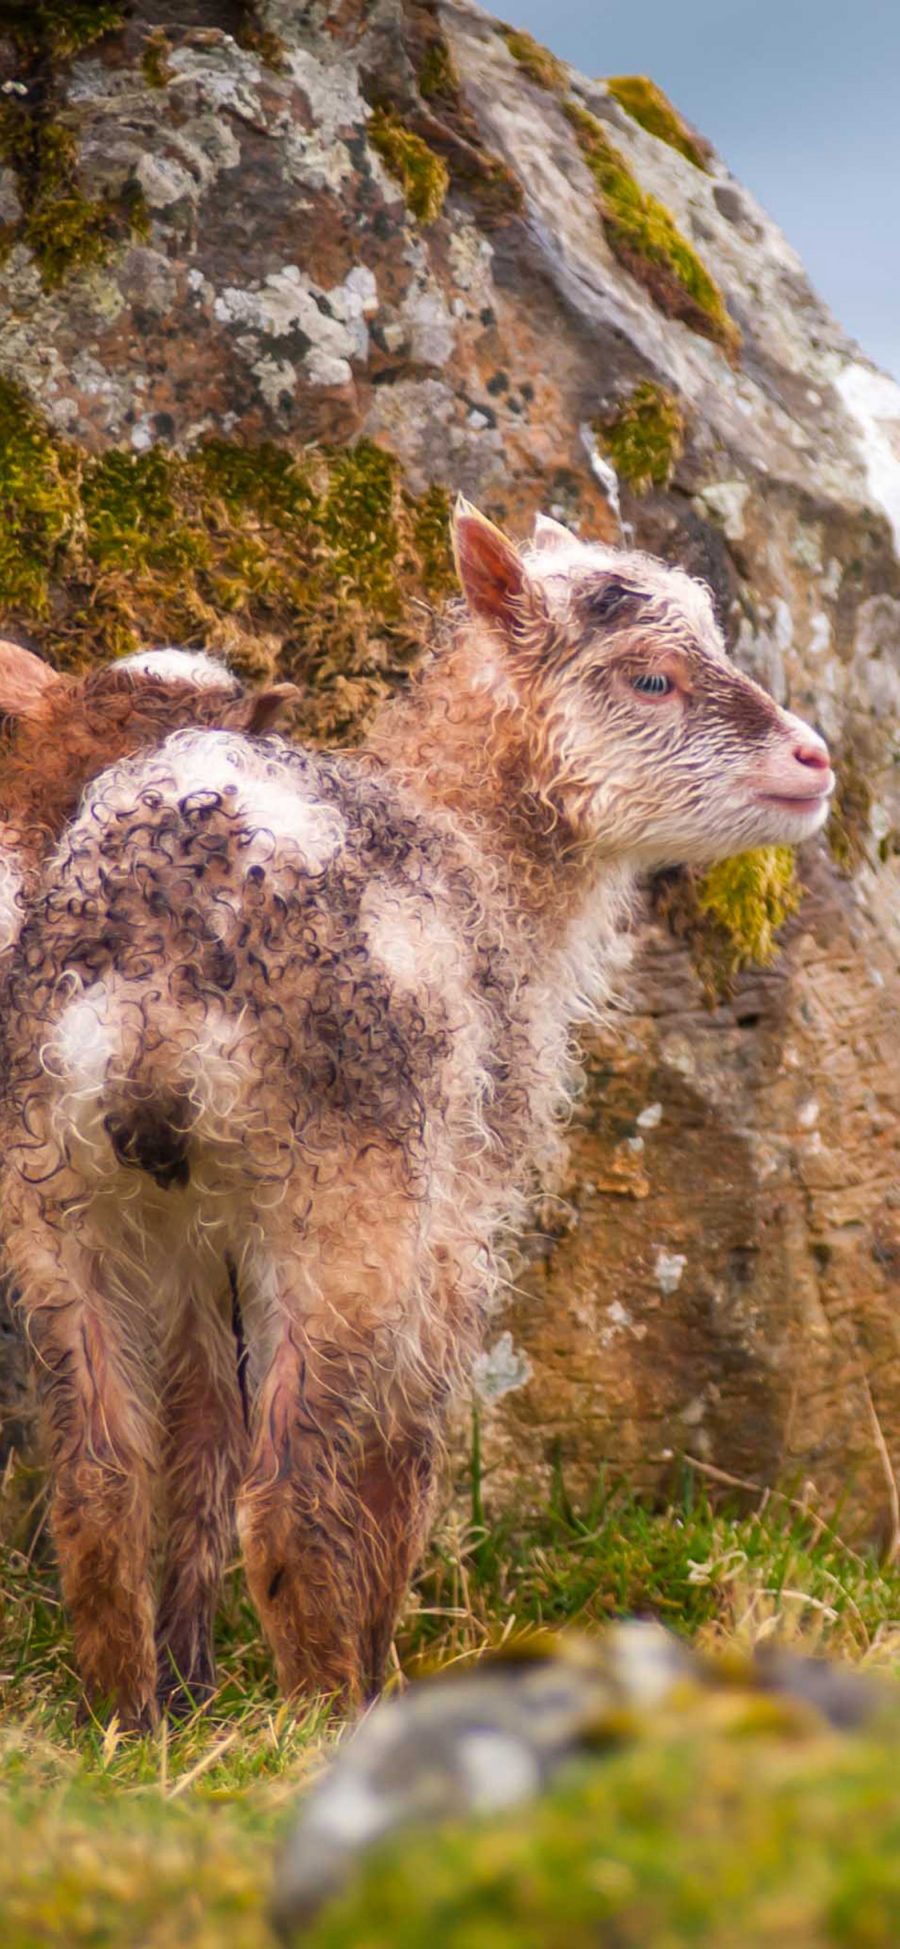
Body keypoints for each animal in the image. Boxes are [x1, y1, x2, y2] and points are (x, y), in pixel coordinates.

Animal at [0, 510, 833, 1730]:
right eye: (652, 676)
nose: (815, 760)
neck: (478, 848)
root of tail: (154, 978)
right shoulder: (456, 1221)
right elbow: (403, 1466)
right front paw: (382, 1669)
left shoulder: (198, 1245)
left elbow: (198, 1442)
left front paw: (191, 1685)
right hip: (352, 1202)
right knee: (292, 1494)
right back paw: (328, 1714)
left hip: (62, 1202)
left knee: (100, 1480)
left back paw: (127, 1717)